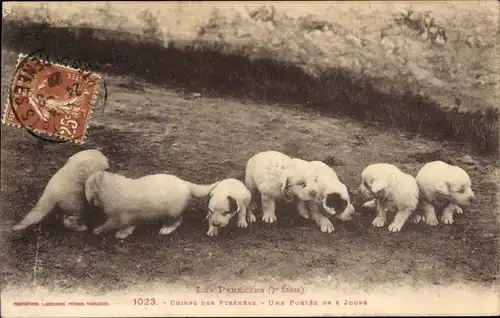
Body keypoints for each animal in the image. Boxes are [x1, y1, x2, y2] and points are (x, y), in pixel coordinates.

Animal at [85, 171, 219, 238]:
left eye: (86, 186)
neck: (113, 188)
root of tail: (186, 184)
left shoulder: (118, 216)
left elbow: (111, 225)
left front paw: (98, 230)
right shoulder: (131, 216)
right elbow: (131, 225)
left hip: (172, 211)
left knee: (177, 221)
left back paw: (166, 229)